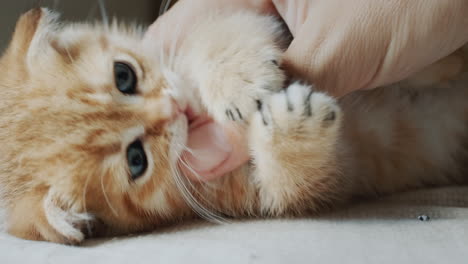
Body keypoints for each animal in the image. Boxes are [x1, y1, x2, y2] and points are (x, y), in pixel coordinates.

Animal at [0, 7, 468, 243]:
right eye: (136, 160)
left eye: (124, 75)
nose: (175, 108)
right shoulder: (328, 177)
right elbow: (303, 185)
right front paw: (292, 132)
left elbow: (210, 31)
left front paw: (237, 74)